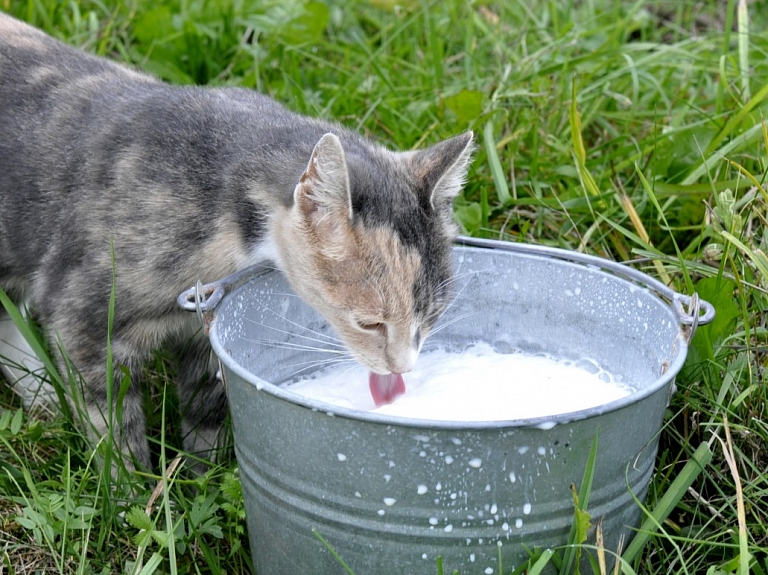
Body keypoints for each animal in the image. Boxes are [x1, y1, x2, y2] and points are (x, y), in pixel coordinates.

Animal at [0, 12, 474, 472]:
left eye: (431, 317)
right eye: (369, 323)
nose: (404, 368)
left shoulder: (206, 333)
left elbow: (204, 410)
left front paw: (202, 475)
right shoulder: (82, 313)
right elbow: (113, 425)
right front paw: (132, 489)